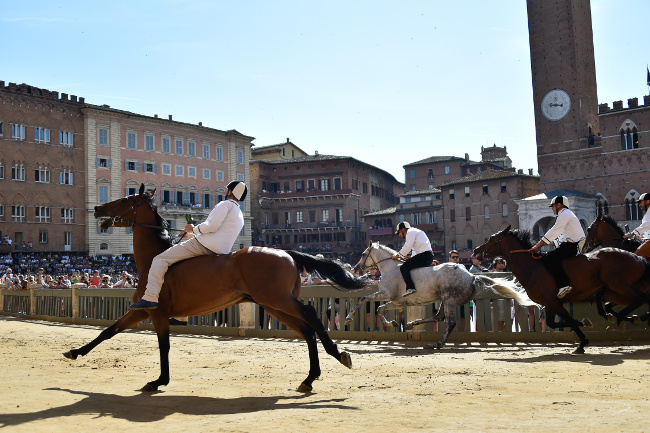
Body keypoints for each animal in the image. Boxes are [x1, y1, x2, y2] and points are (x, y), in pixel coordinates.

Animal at [63, 184, 368, 394]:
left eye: (125, 200)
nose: (97, 210)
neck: (154, 258)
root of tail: (287, 253)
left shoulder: (157, 312)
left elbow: (164, 346)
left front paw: (160, 380)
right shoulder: (141, 311)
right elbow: (109, 330)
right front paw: (75, 352)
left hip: (278, 300)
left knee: (312, 316)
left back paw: (337, 354)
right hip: (273, 305)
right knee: (306, 330)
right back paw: (309, 378)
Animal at [346, 243, 536, 348]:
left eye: (363, 254)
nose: (356, 268)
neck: (391, 269)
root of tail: (471, 276)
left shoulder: (386, 294)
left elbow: (366, 300)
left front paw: (349, 317)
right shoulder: (397, 302)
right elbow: (380, 309)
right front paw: (392, 323)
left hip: (449, 299)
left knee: (449, 322)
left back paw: (437, 344)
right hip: (445, 300)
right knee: (438, 317)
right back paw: (412, 324)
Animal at [470, 224, 648, 352]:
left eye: (492, 238)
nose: (476, 250)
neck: (532, 267)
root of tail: (637, 257)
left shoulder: (550, 302)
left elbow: (554, 323)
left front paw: (584, 323)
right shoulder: (556, 303)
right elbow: (567, 320)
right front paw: (583, 342)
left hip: (620, 285)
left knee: (641, 298)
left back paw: (625, 318)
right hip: (614, 291)